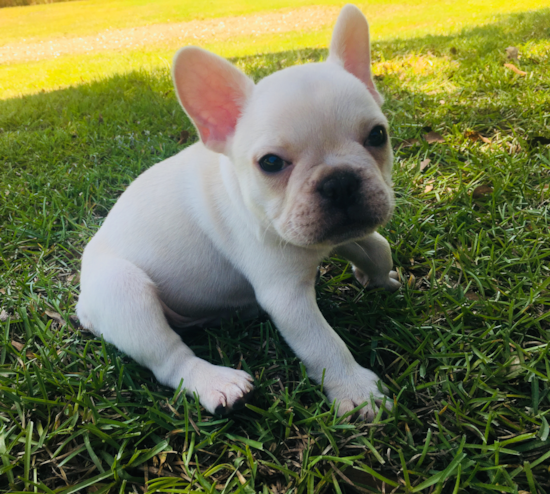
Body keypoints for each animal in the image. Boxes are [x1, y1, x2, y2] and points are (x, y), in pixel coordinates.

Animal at [76, 3, 402, 420]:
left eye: (378, 135)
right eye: (271, 163)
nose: (339, 181)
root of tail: (83, 303)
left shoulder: (329, 234)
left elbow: (377, 246)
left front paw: (376, 277)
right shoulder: (286, 294)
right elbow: (324, 344)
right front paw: (358, 392)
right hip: (123, 291)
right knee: (168, 358)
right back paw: (218, 384)